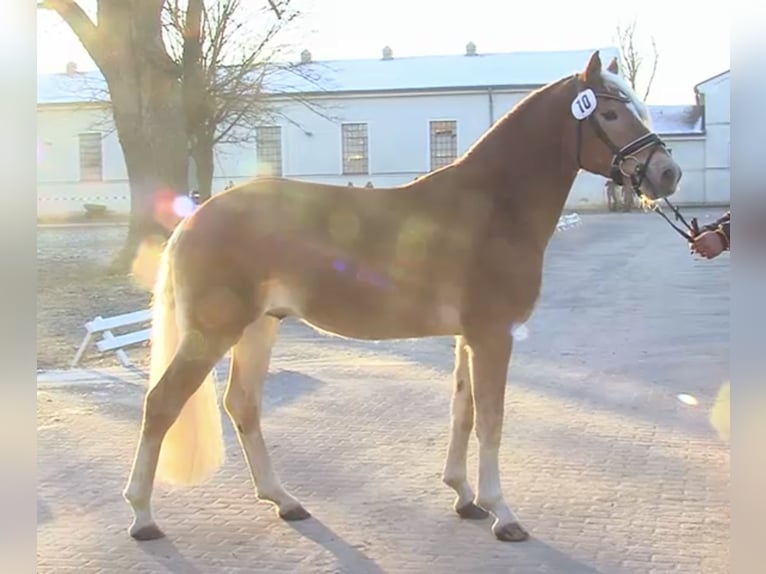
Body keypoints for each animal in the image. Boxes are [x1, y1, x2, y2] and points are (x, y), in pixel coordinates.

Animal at [124, 49, 684, 544]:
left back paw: (284, 501)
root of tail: (195, 216)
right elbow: (492, 420)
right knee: (162, 404)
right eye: (609, 112)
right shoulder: (494, 336)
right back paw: (142, 517)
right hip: (213, 331)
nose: (667, 173)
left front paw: (464, 497)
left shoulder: (469, 337)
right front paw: (503, 514)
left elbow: (463, 411)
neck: (493, 206)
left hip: (260, 326)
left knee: (242, 405)